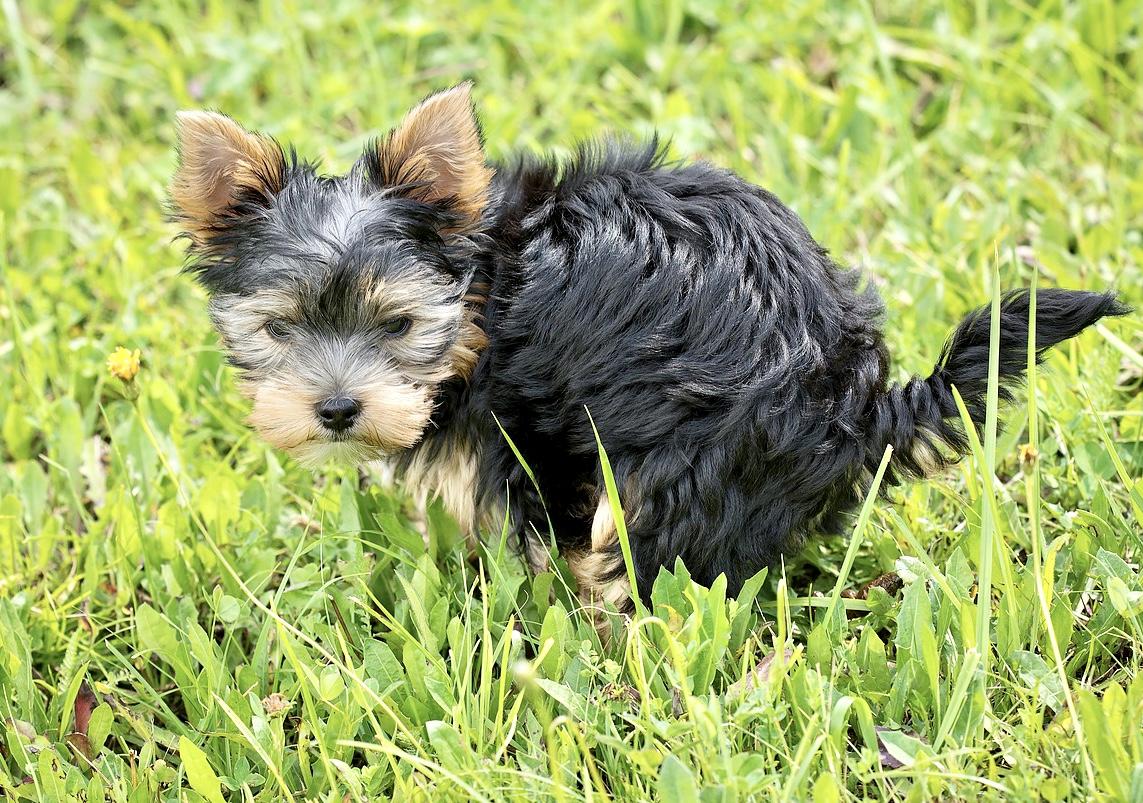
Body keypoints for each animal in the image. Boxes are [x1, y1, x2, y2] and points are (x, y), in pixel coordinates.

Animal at [173, 81, 1129, 616]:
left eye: (399, 325)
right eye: (280, 328)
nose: (337, 409)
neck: (484, 289)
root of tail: (857, 401)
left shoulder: (529, 434)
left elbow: (537, 528)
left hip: (686, 463)